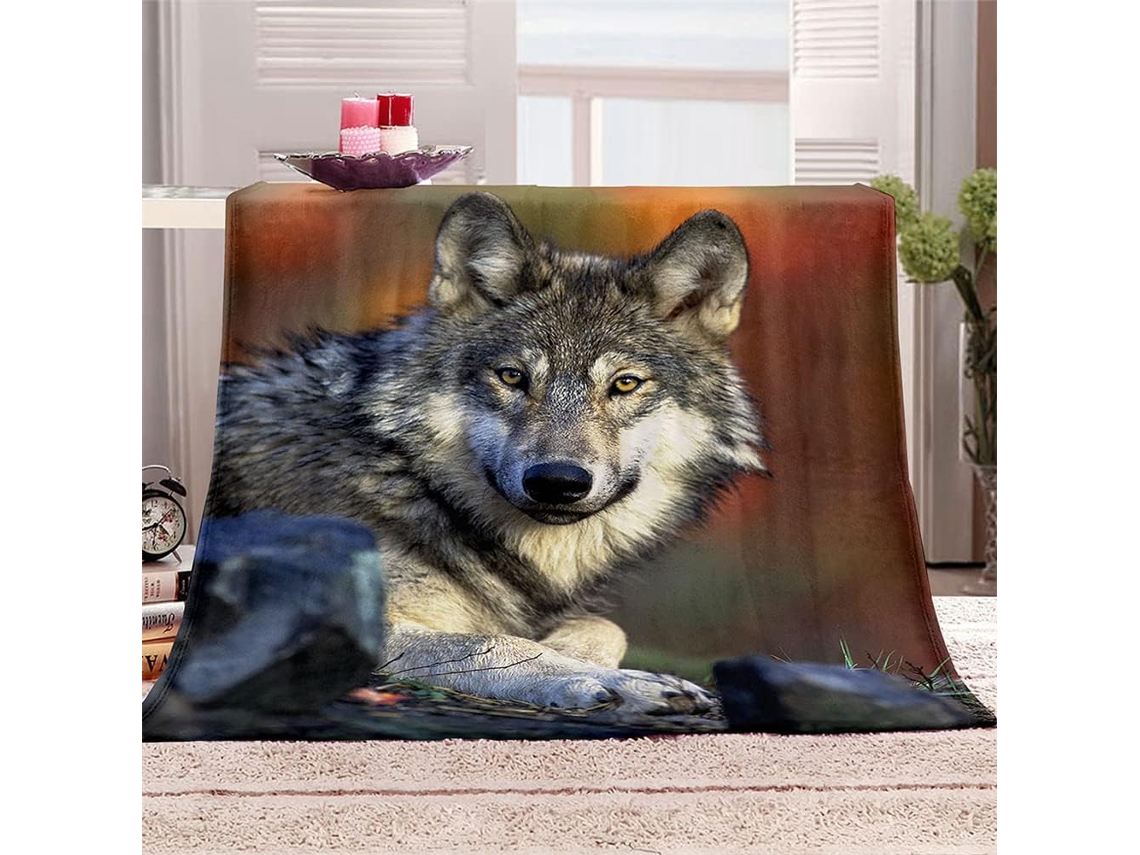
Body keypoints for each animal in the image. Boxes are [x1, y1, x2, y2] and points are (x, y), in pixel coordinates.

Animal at [209, 191, 767, 714]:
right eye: (512, 377)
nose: (557, 481)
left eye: (625, 383)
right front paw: (613, 680)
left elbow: (604, 626)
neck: (409, 480)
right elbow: (492, 642)